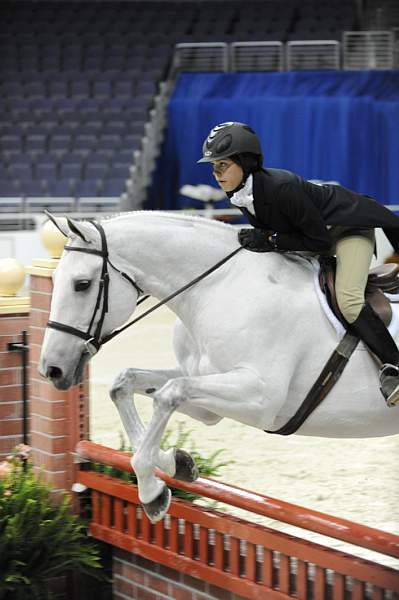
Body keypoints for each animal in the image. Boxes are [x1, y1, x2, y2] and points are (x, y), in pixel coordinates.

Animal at [39, 211, 399, 520]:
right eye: (55, 279)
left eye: (82, 284)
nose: (51, 369)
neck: (218, 289)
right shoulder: (206, 396)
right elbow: (125, 383)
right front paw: (177, 463)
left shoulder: (260, 401)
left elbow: (168, 394)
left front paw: (152, 492)